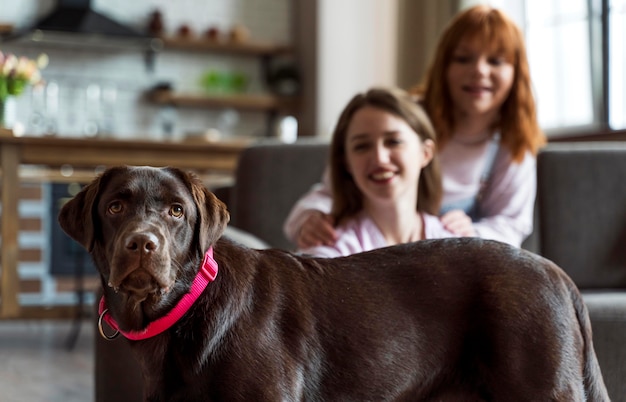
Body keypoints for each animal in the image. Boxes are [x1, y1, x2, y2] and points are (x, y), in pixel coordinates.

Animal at [57, 166, 604, 402]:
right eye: (115, 206)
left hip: (542, 387)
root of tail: (555, 272)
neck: (188, 310)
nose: (142, 244)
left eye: (175, 212)